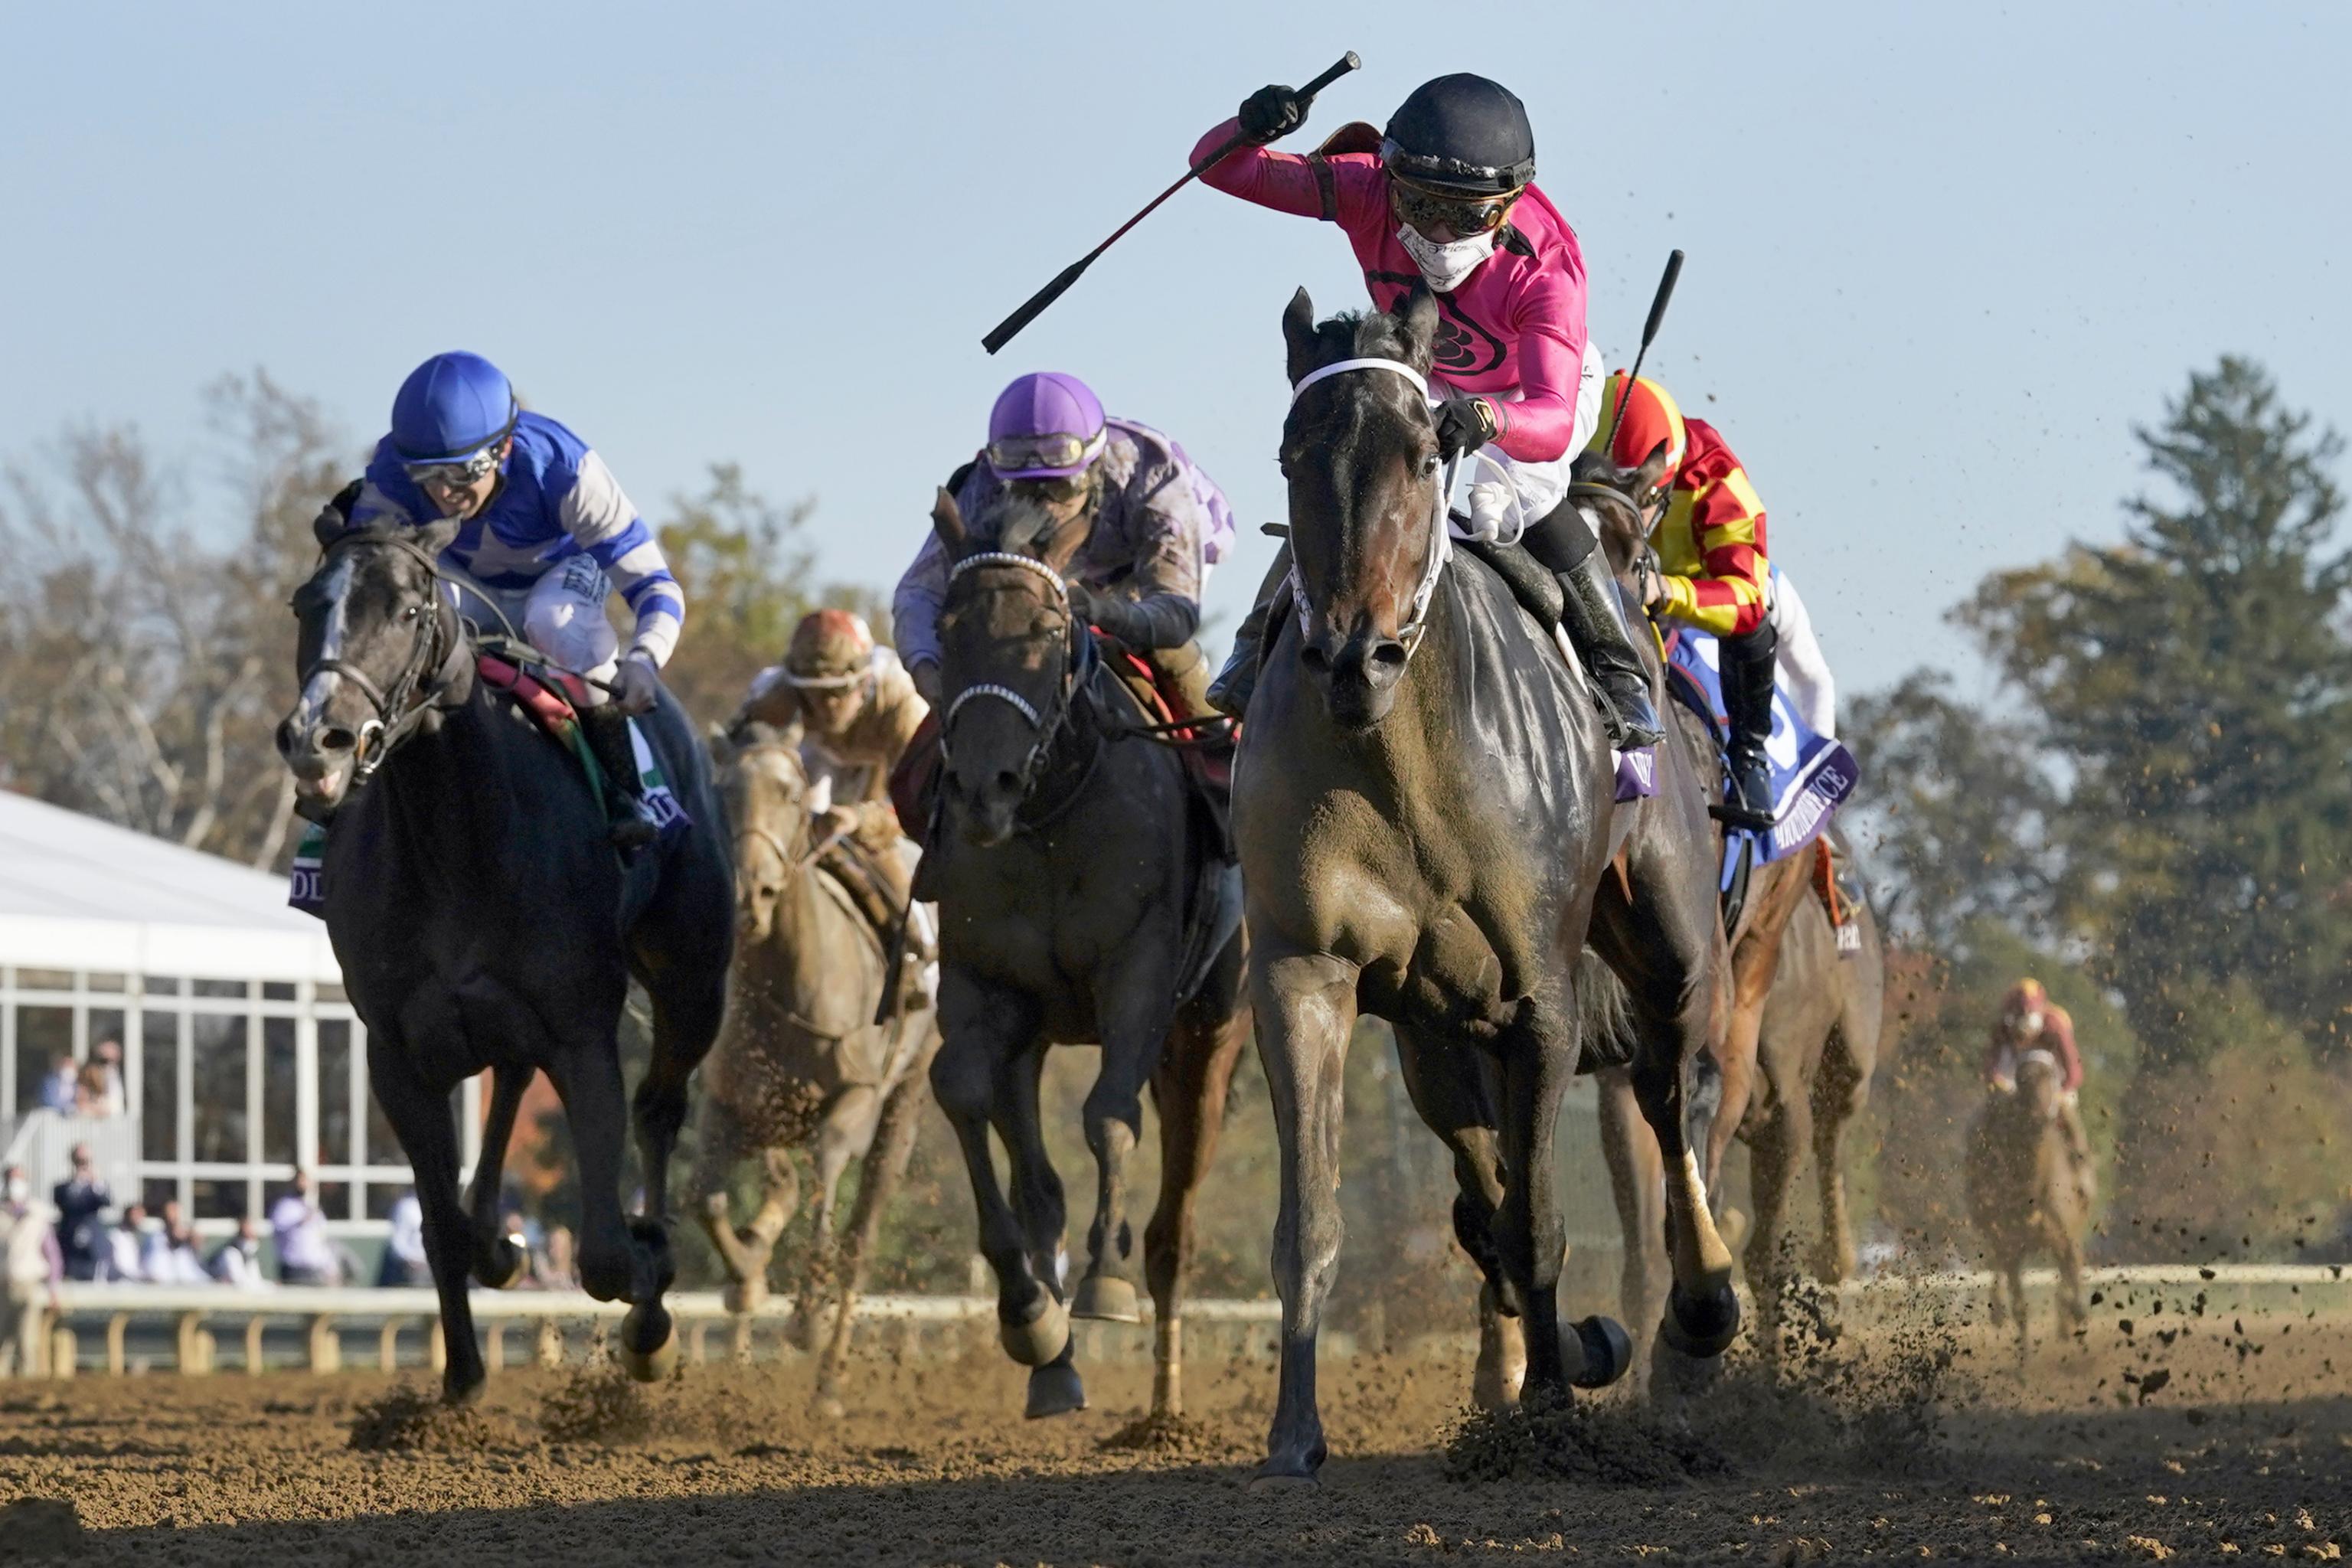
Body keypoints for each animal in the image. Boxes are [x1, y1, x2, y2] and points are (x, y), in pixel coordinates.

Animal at [277, 521, 733, 1400]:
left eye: (408, 608)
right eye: (305, 603)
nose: (319, 737)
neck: (456, 837)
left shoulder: (584, 1034)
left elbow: (603, 1254)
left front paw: (646, 1279)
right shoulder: (397, 1053)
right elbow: (440, 1227)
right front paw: (460, 1379)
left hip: (693, 978)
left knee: (659, 1108)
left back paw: (651, 1290)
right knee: (513, 1084)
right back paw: (500, 1238)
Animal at [687, 724, 936, 1419]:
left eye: (792, 795)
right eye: (723, 792)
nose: (752, 892)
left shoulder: (854, 1102)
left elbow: (827, 1196)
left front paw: (804, 1320)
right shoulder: (728, 1103)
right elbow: (705, 1197)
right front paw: (746, 1273)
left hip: (905, 1102)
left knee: (858, 1240)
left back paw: (828, 1382)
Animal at [917, 486, 1260, 1419]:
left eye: (1045, 625)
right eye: (950, 626)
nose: (982, 787)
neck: (1050, 819)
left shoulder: (1137, 970)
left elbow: (1108, 1116)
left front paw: (1105, 1284)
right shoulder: (986, 987)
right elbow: (960, 1091)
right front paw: (1030, 1312)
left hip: (1210, 1034)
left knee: (1175, 1224)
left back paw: (1164, 1403)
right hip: (1038, 1038)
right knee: (1039, 1180)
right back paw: (1057, 1365)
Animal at [1242, 291, 1740, 1485]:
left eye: (1428, 455)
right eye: (1291, 454)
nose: (1354, 657)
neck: (1404, 760)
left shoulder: (1542, 1002)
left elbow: (1540, 1220)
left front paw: (1554, 1407)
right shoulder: (1306, 971)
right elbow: (1325, 1220)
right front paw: (1295, 1434)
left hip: (1670, 948)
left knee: (1673, 1092)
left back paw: (1700, 1313)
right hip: (1435, 1029)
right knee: (1492, 1176)